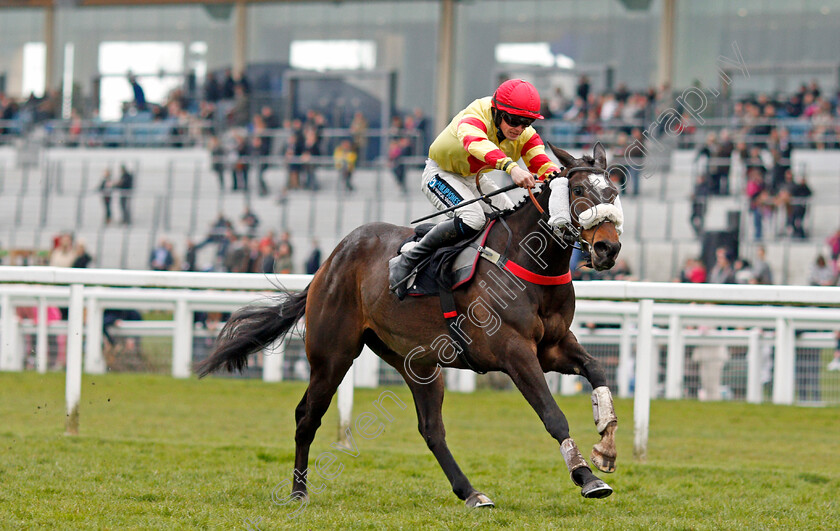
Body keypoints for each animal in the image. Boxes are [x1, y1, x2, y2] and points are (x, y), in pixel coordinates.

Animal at [199, 143, 624, 510]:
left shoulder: (553, 345)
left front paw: (605, 446)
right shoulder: (513, 351)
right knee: (307, 417)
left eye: (614, 190)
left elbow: (596, 369)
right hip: (332, 355)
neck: (528, 261)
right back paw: (298, 492)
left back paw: (472, 493)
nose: (609, 248)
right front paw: (586, 476)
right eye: (579, 189)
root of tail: (331, 260)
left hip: (417, 364)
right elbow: (552, 413)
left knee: (431, 429)